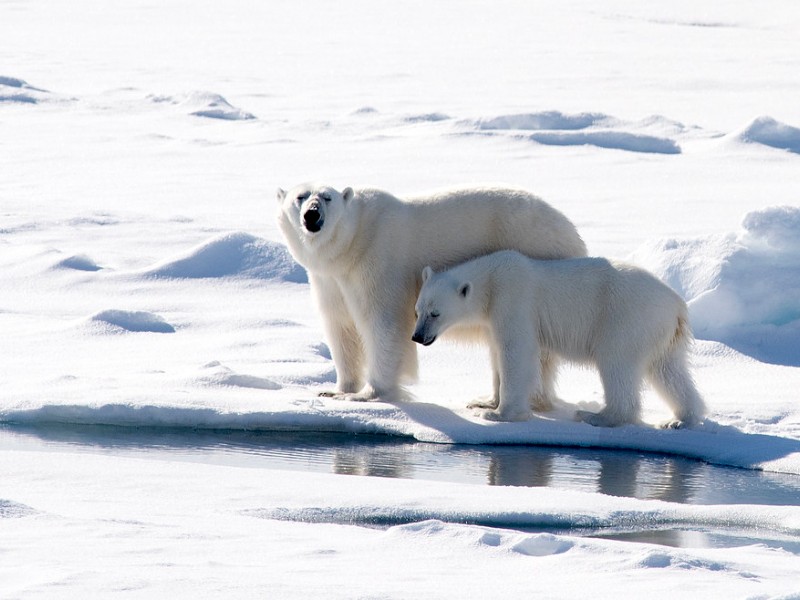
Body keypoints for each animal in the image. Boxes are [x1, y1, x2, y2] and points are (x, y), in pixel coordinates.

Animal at [276, 184, 588, 404]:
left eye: (327, 197)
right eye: (301, 196)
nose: (312, 214)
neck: (353, 243)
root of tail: (572, 233)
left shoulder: (379, 261)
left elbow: (384, 324)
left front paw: (368, 393)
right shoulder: (329, 279)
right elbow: (341, 327)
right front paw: (337, 390)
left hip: (536, 252)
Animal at [412, 251, 708, 428]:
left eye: (435, 313)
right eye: (417, 310)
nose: (417, 336)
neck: (491, 279)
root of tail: (678, 305)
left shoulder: (513, 299)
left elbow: (516, 351)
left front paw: (499, 414)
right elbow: (496, 351)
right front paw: (485, 401)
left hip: (627, 318)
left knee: (617, 363)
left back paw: (597, 416)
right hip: (662, 333)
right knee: (668, 370)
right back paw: (680, 419)